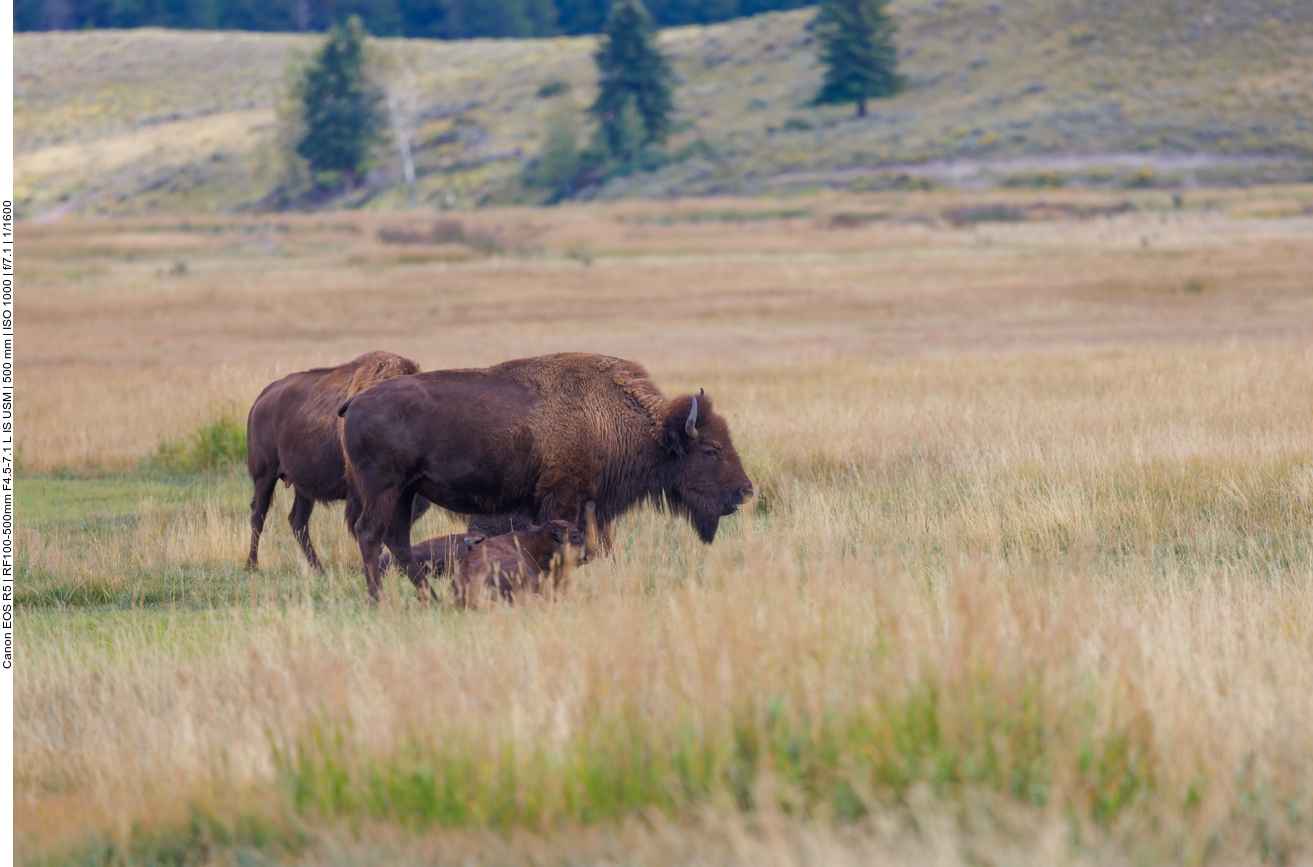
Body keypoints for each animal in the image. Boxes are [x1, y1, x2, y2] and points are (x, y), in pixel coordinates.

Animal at [246, 349, 425, 572]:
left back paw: (318, 568)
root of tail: (262, 398)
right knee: (258, 515)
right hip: (265, 477)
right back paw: (252, 565)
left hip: (303, 487)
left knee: (297, 521)